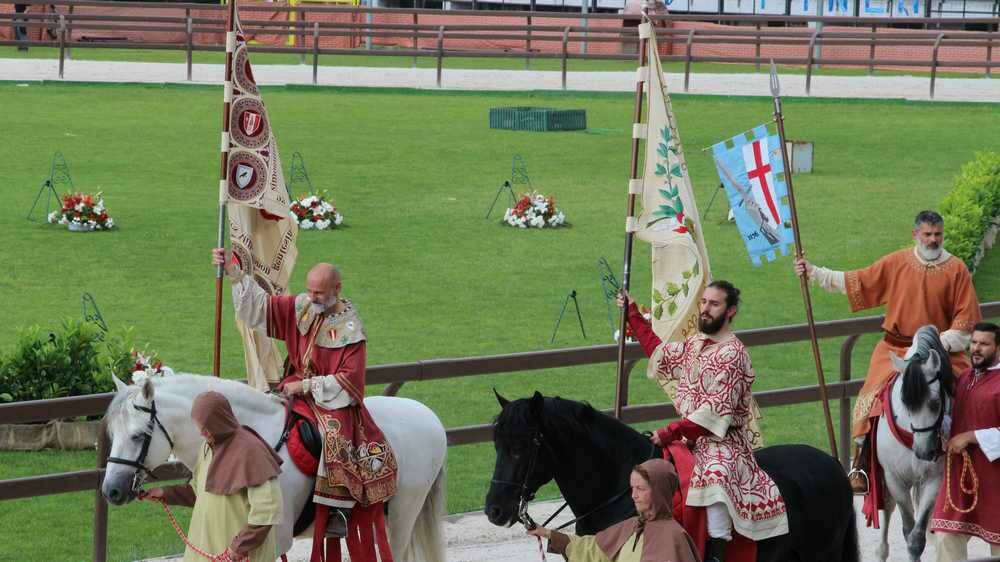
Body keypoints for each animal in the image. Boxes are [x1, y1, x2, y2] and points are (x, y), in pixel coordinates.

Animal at [101, 372, 446, 560]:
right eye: (112, 434)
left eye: (138, 435)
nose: (111, 490)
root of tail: (431, 417)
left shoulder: (272, 537)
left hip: (403, 514)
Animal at [876, 324, 952, 560]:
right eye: (905, 402)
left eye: (936, 402)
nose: (924, 452)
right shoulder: (894, 478)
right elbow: (907, 528)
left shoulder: (934, 479)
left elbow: (916, 539)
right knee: (887, 509)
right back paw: (881, 551)